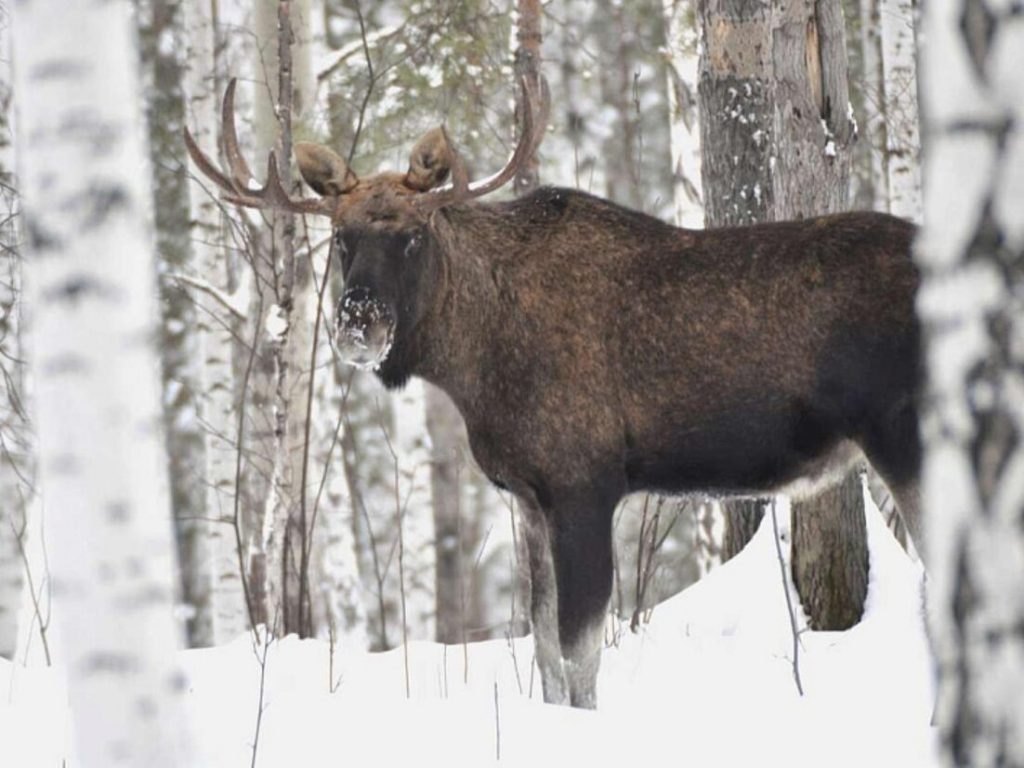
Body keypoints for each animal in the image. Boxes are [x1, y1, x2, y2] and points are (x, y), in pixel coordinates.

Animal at [184, 76, 921, 708]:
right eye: (342, 237)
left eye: (413, 238)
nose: (358, 324)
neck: (474, 364)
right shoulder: (528, 495)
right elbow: (542, 648)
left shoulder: (584, 485)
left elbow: (578, 653)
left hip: (904, 435)